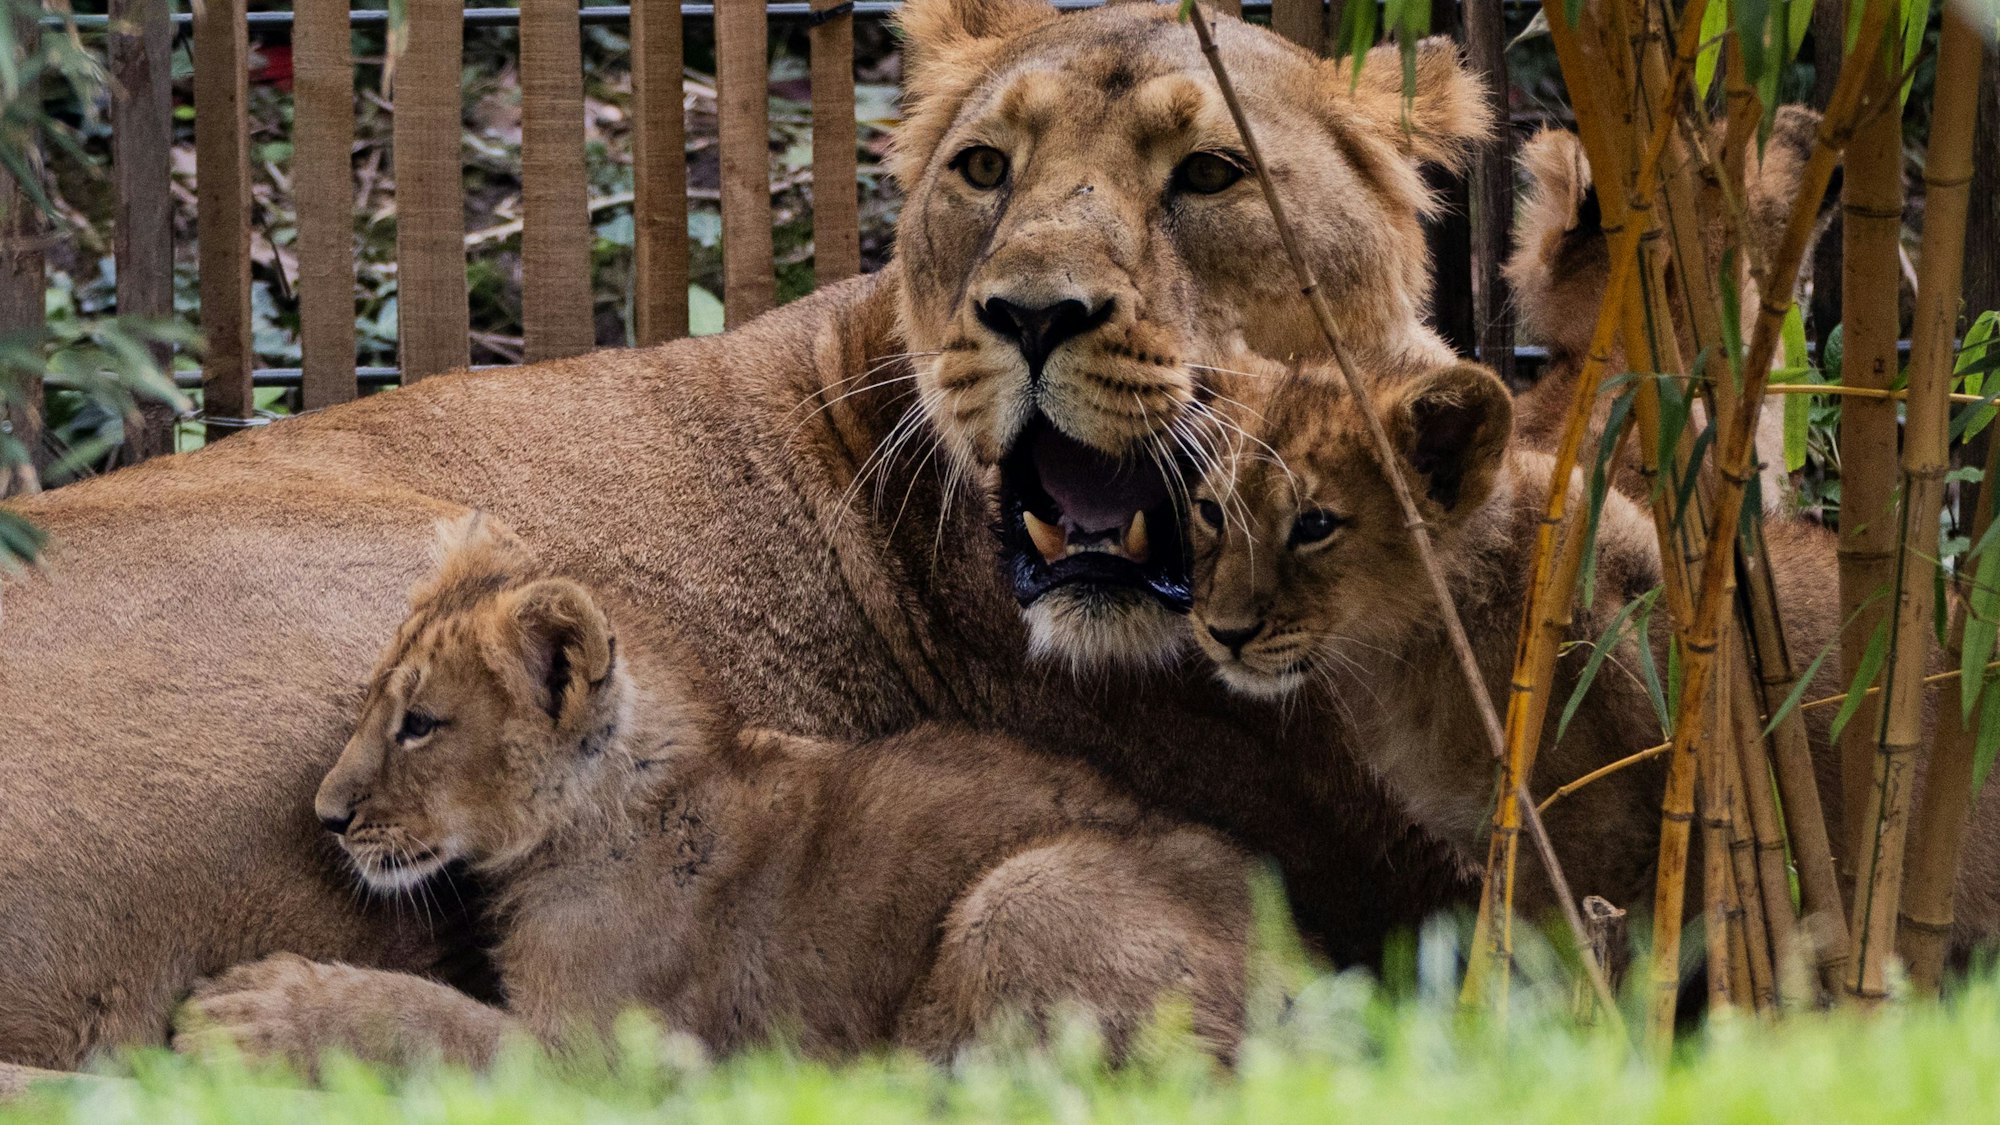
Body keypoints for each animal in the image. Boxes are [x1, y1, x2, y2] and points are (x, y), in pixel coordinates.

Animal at [172, 516, 1250, 1070]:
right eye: (371, 706)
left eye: (421, 724)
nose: (326, 816)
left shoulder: (607, 1065)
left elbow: (428, 1019)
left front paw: (255, 1009)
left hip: (1020, 895)